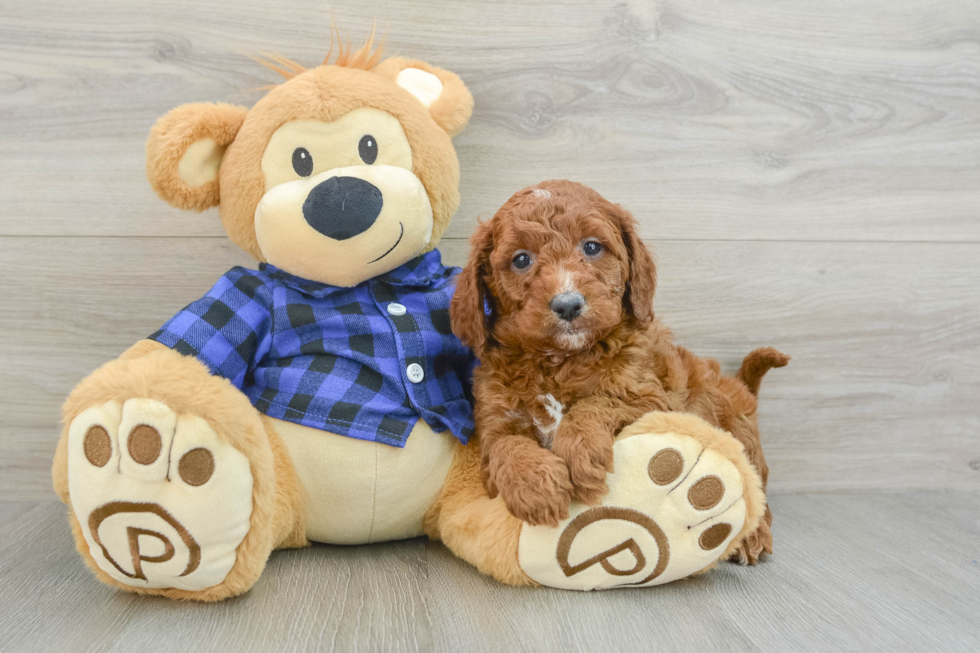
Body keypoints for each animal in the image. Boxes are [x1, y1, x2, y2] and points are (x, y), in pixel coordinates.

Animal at [452, 181, 788, 564]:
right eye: (521, 259)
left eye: (592, 247)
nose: (568, 304)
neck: (559, 360)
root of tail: (742, 388)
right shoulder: (494, 423)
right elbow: (507, 447)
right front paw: (538, 488)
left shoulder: (651, 398)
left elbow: (599, 402)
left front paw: (579, 453)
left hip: (740, 434)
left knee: (755, 494)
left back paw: (752, 537)